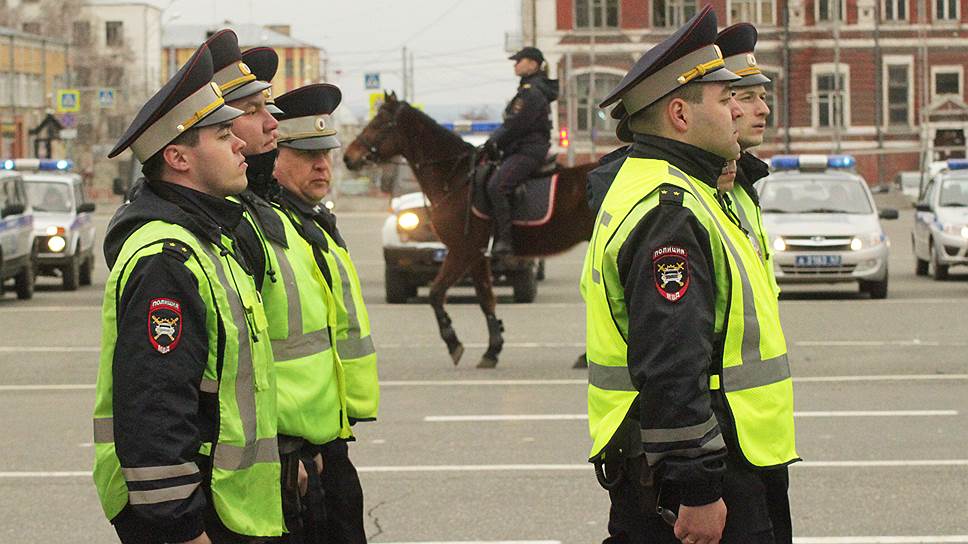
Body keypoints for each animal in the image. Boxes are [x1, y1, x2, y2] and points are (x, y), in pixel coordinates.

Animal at [340, 91, 596, 368]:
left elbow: (436, 293)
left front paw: (454, 343)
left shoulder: (462, 250)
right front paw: (492, 350)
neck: (456, 180)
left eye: (379, 124)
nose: (348, 157)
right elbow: (485, 298)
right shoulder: (476, 255)